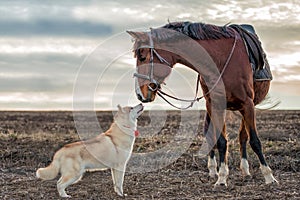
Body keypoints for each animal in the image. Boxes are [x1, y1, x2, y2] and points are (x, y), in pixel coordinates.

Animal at [126, 21, 276, 186]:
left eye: (142, 57)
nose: (139, 94)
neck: (221, 59)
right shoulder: (216, 104)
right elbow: (221, 140)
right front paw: (221, 177)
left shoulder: (248, 104)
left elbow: (254, 140)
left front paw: (269, 176)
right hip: (212, 106)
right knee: (212, 134)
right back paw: (214, 169)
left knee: (243, 135)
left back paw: (245, 169)